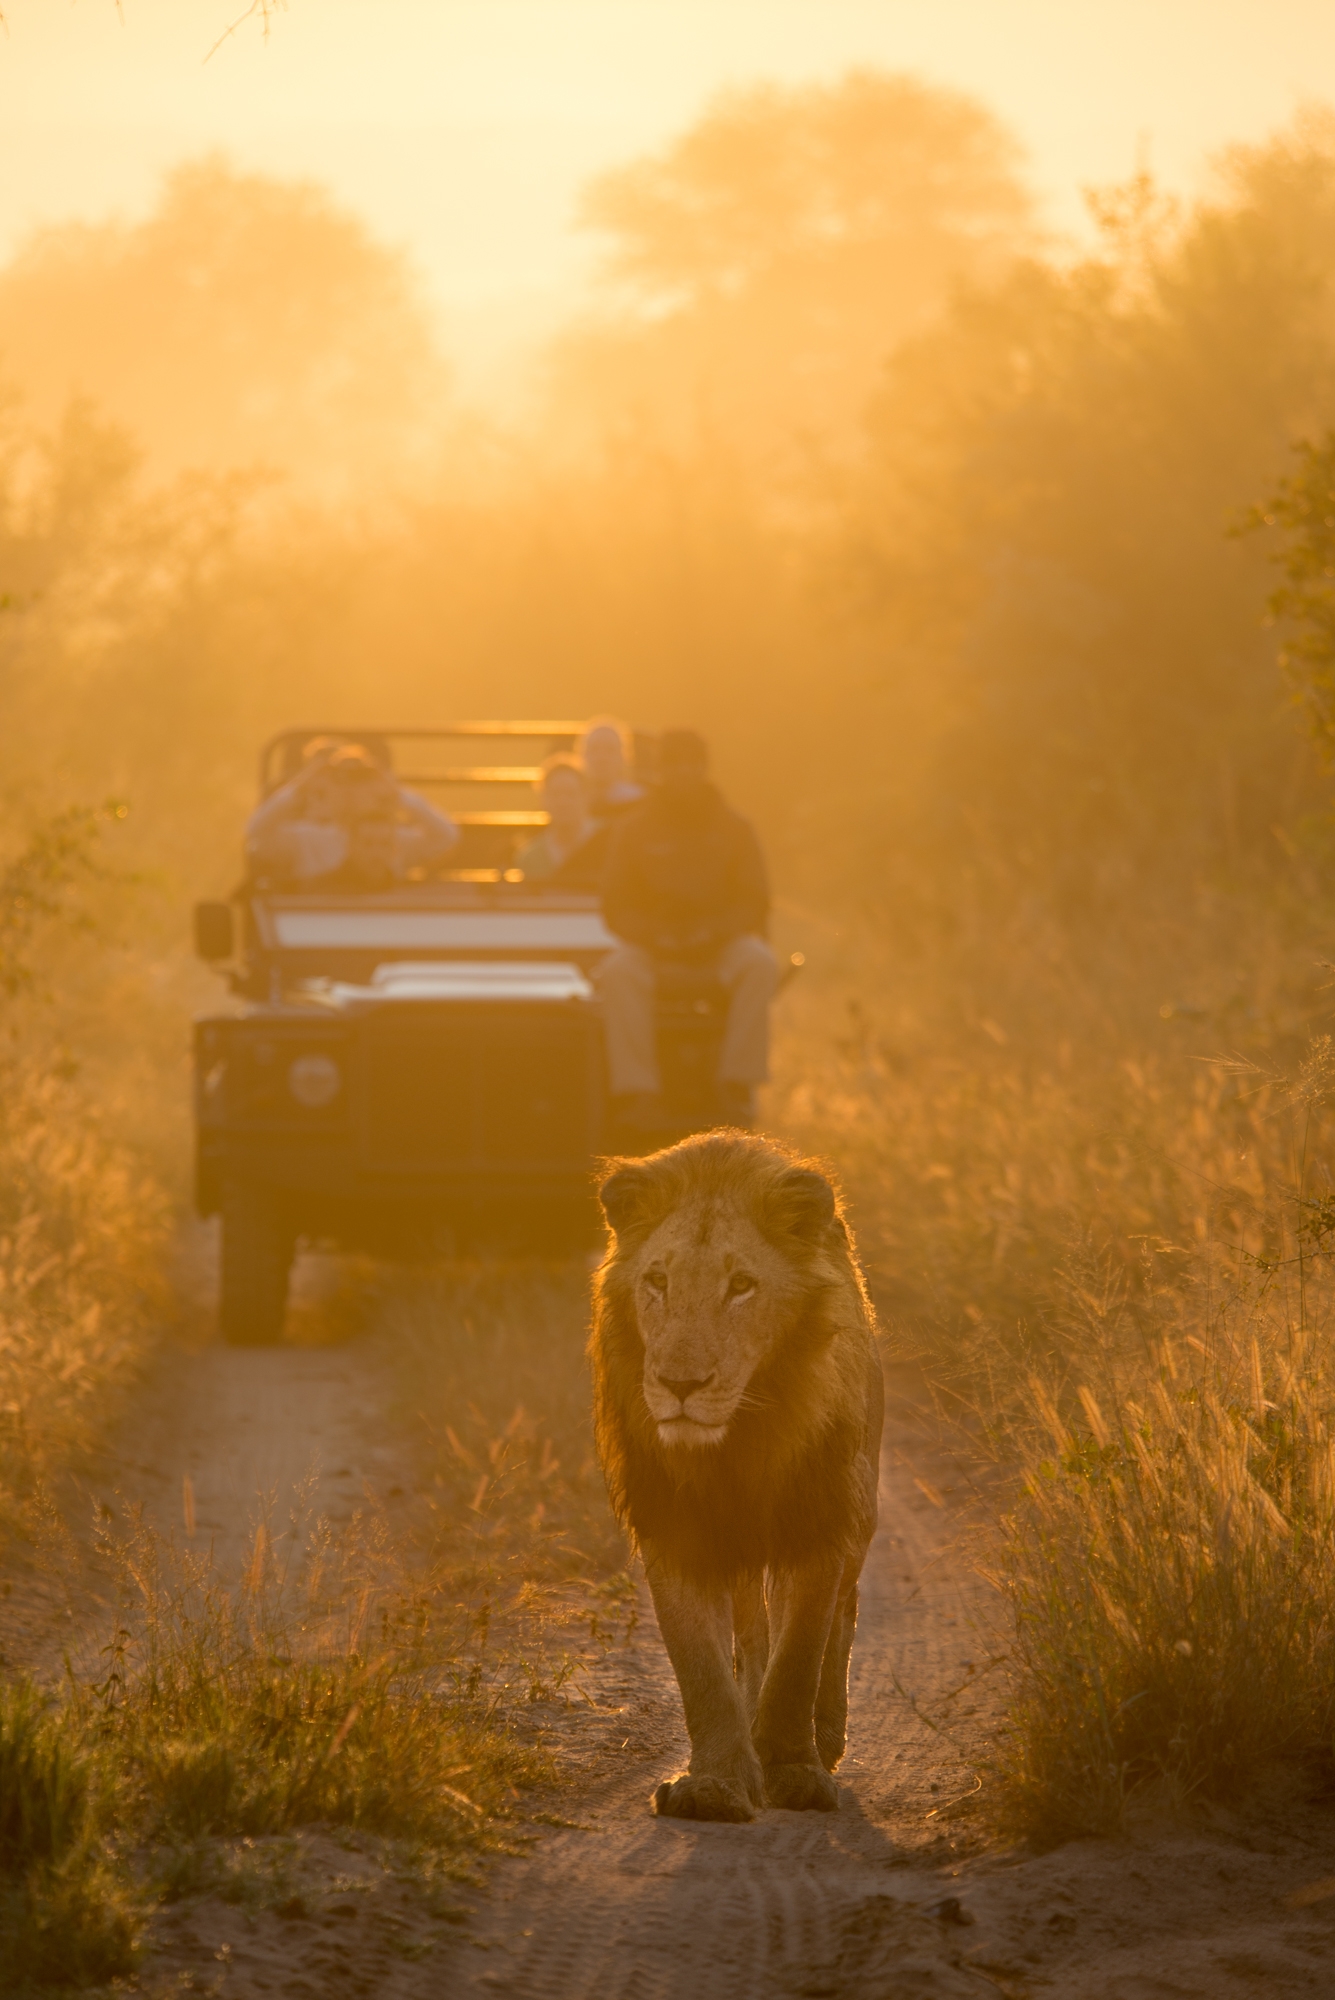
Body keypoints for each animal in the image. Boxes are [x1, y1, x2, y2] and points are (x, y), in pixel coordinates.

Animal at [595, 1136, 887, 1824]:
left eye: (742, 1286)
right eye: (657, 1281)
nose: (680, 1385)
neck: (735, 1446)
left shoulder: (817, 1520)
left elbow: (799, 1655)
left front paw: (794, 1770)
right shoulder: (673, 1528)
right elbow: (701, 1666)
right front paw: (716, 1784)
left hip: (859, 1508)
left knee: (840, 1618)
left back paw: (827, 1735)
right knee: (752, 1636)